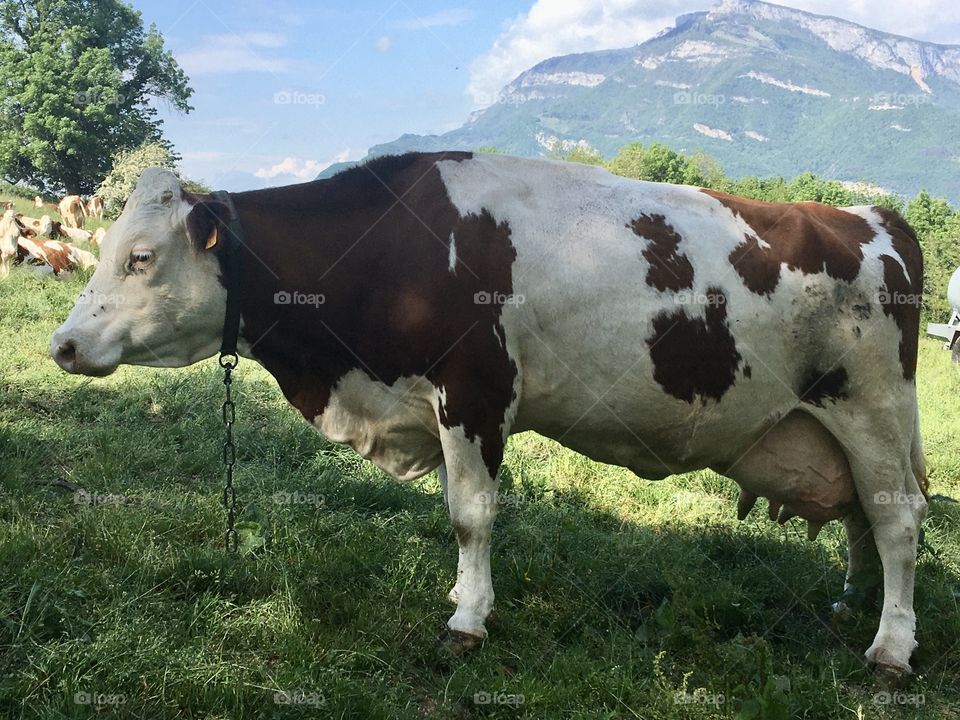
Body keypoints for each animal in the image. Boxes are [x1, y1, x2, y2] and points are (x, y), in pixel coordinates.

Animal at [50, 154, 927, 680]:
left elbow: (469, 514)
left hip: (873, 405)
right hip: (843, 424)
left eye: (140, 257)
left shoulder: (474, 392)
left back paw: (891, 645)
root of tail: (869, 216)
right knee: (864, 514)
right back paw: (855, 602)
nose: (63, 343)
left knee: (898, 519)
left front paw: (468, 618)